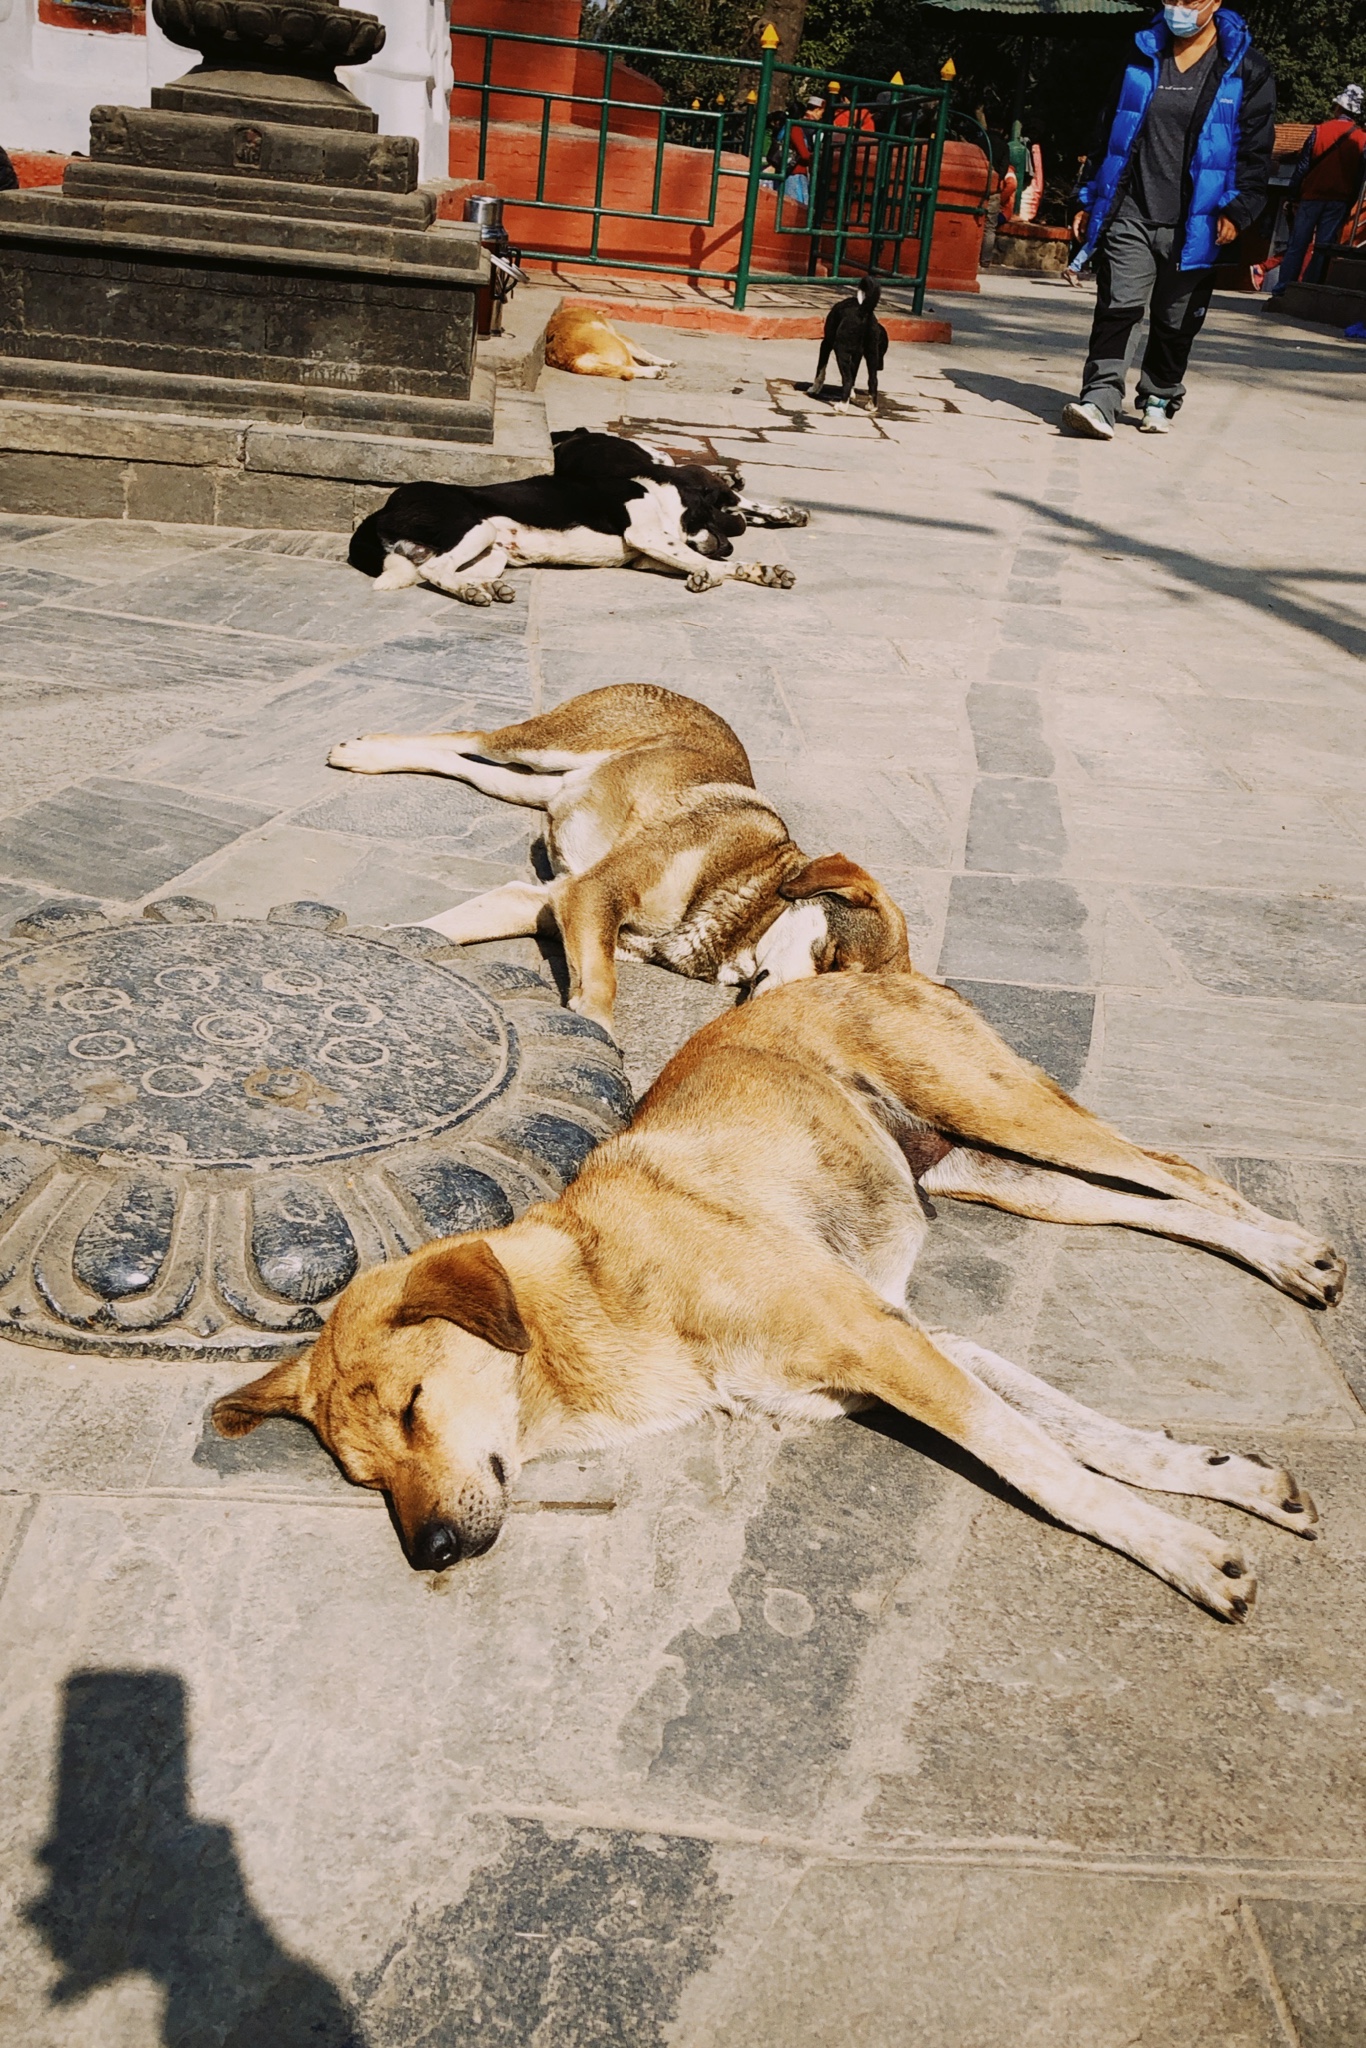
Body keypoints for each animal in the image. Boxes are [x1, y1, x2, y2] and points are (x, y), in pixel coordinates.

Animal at [214, 970, 1343, 1613]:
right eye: (363, 1476)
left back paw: (1291, 1251)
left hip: (995, 1104)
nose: (431, 1551)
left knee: (1177, 1170)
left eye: (414, 1407)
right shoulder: (907, 1341)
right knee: (1126, 1198)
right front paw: (1230, 1479)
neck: (596, 1292)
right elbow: (1078, 1433)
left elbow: (1048, 1466)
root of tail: (869, 960)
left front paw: (1185, 1553)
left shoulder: (881, 1341)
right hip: (984, 1170)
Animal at [325, 688, 913, 1040]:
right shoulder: (591, 895)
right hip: (548, 743)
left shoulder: (551, 899)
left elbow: (436, 931)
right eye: (830, 959)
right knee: (467, 737)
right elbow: (603, 987)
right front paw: (598, 1035)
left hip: (531, 786)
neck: (752, 889)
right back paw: (363, 751)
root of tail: (685, 694)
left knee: (466, 765)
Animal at [350, 442, 802, 606]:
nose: (729, 544)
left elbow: (715, 565)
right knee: (434, 569)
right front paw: (715, 572)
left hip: (493, 550)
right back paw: (473, 593)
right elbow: (707, 564)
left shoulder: (646, 554)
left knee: (442, 570)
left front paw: (760, 570)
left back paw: (487, 588)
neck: (657, 493)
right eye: (717, 510)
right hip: (477, 527)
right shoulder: (645, 536)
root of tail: (383, 507)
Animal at [806, 276, 892, 411]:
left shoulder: (826, 344)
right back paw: (871, 406)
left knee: (847, 379)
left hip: (840, 350)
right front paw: (851, 394)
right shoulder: (858, 354)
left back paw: (842, 405)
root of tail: (863, 311)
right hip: (871, 354)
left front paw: (814, 389)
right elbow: (853, 374)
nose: (881, 367)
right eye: (882, 351)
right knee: (873, 380)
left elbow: (821, 370)